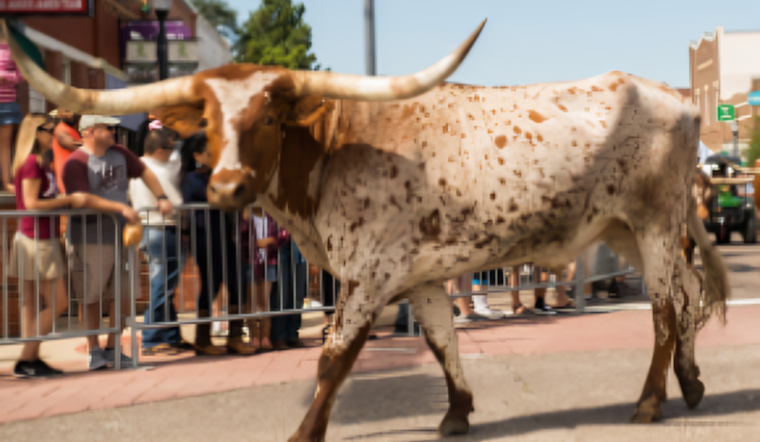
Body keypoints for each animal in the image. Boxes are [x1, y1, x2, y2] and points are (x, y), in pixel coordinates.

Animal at [4, 18, 730, 441]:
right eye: (206, 121)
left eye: (271, 116)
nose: (226, 189)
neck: (330, 150)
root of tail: (669, 94)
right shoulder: (422, 275)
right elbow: (441, 341)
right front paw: (456, 413)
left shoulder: (369, 273)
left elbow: (334, 356)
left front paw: (305, 433)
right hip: (629, 229)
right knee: (688, 296)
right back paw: (692, 384)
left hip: (654, 224)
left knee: (666, 310)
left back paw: (651, 402)